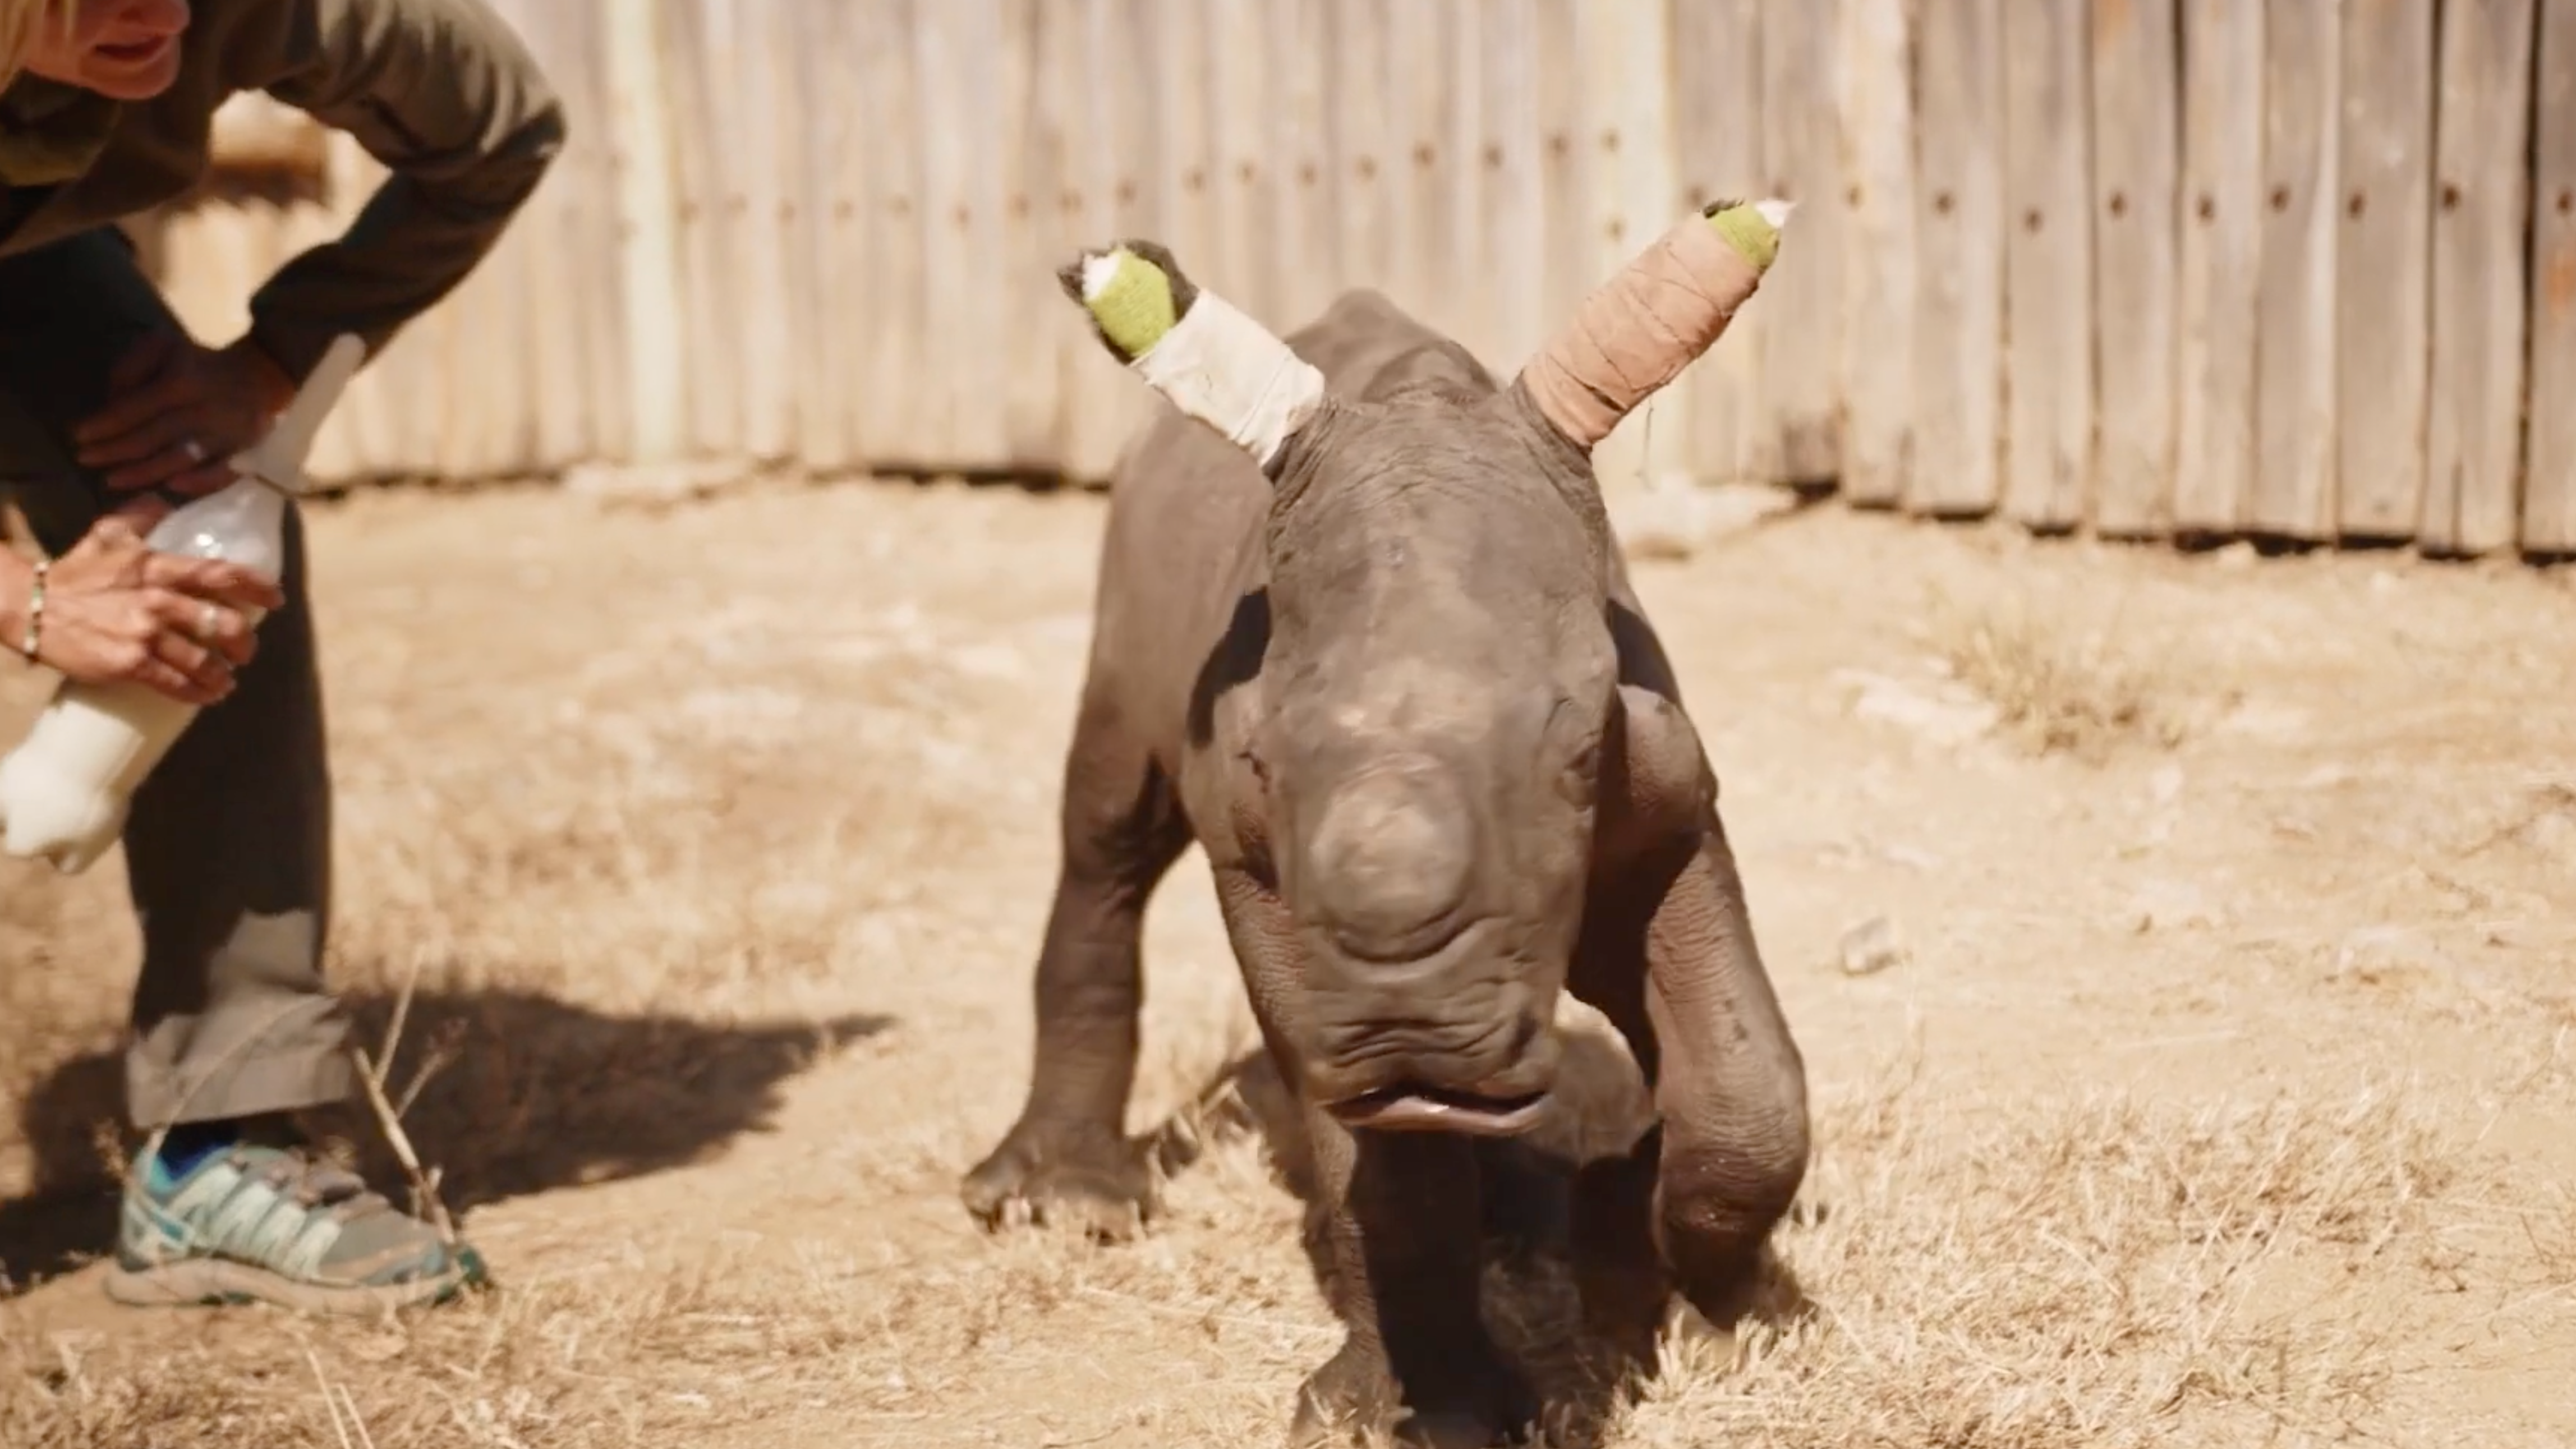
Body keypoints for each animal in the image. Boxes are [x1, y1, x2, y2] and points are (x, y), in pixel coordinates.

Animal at [962, 197, 1813, 1447]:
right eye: (1262, 758)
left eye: (1577, 746)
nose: (1409, 1029)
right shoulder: (1259, 864)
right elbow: (1387, 1175)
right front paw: (1424, 1410)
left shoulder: (1666, 798)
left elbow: (1748, 1089)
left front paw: (1735, 1322)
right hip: (1125, 587)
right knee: (1107, 831)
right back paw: (1062, 1204)